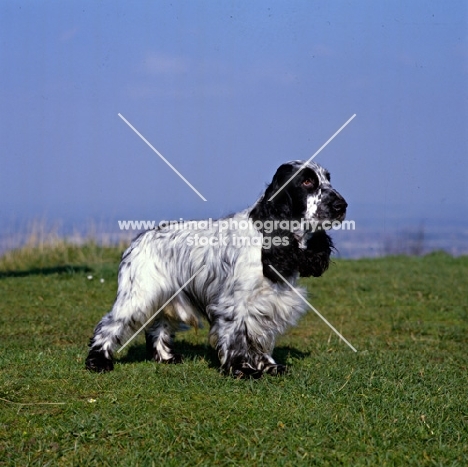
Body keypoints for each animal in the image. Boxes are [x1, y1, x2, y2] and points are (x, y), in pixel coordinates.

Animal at [86, 163, 346, 378]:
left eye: (328, 178)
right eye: (307, 181)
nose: (341, 205)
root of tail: (138, 240)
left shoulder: (267, 304)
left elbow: (260, 340)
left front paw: (270, 366)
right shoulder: (235, 304)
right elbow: (237, 337)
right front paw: (242, 369)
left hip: (168, 296)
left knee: (158, 326)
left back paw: (166, 357)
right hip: (139, 295)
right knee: (108, 325)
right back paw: (98, 362)